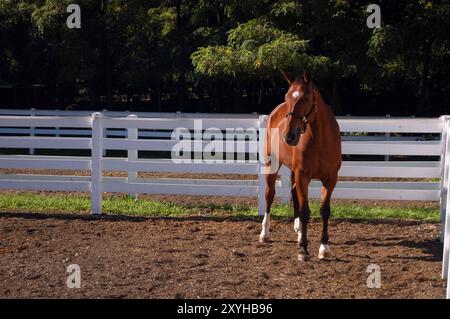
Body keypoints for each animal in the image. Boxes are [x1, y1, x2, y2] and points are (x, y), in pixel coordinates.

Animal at [260, 70, 342, 262]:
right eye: (287, 96)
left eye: (305, 98)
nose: (289, 136)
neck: (321, 141)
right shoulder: (302, 175)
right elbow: (305, 212)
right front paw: (304, 249)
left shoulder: (331, 179)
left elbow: (324, 210)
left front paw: (324, 247)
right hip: (272, 165)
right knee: (269, 195)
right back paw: (265, 233)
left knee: (293, 194)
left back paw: (298, 231)